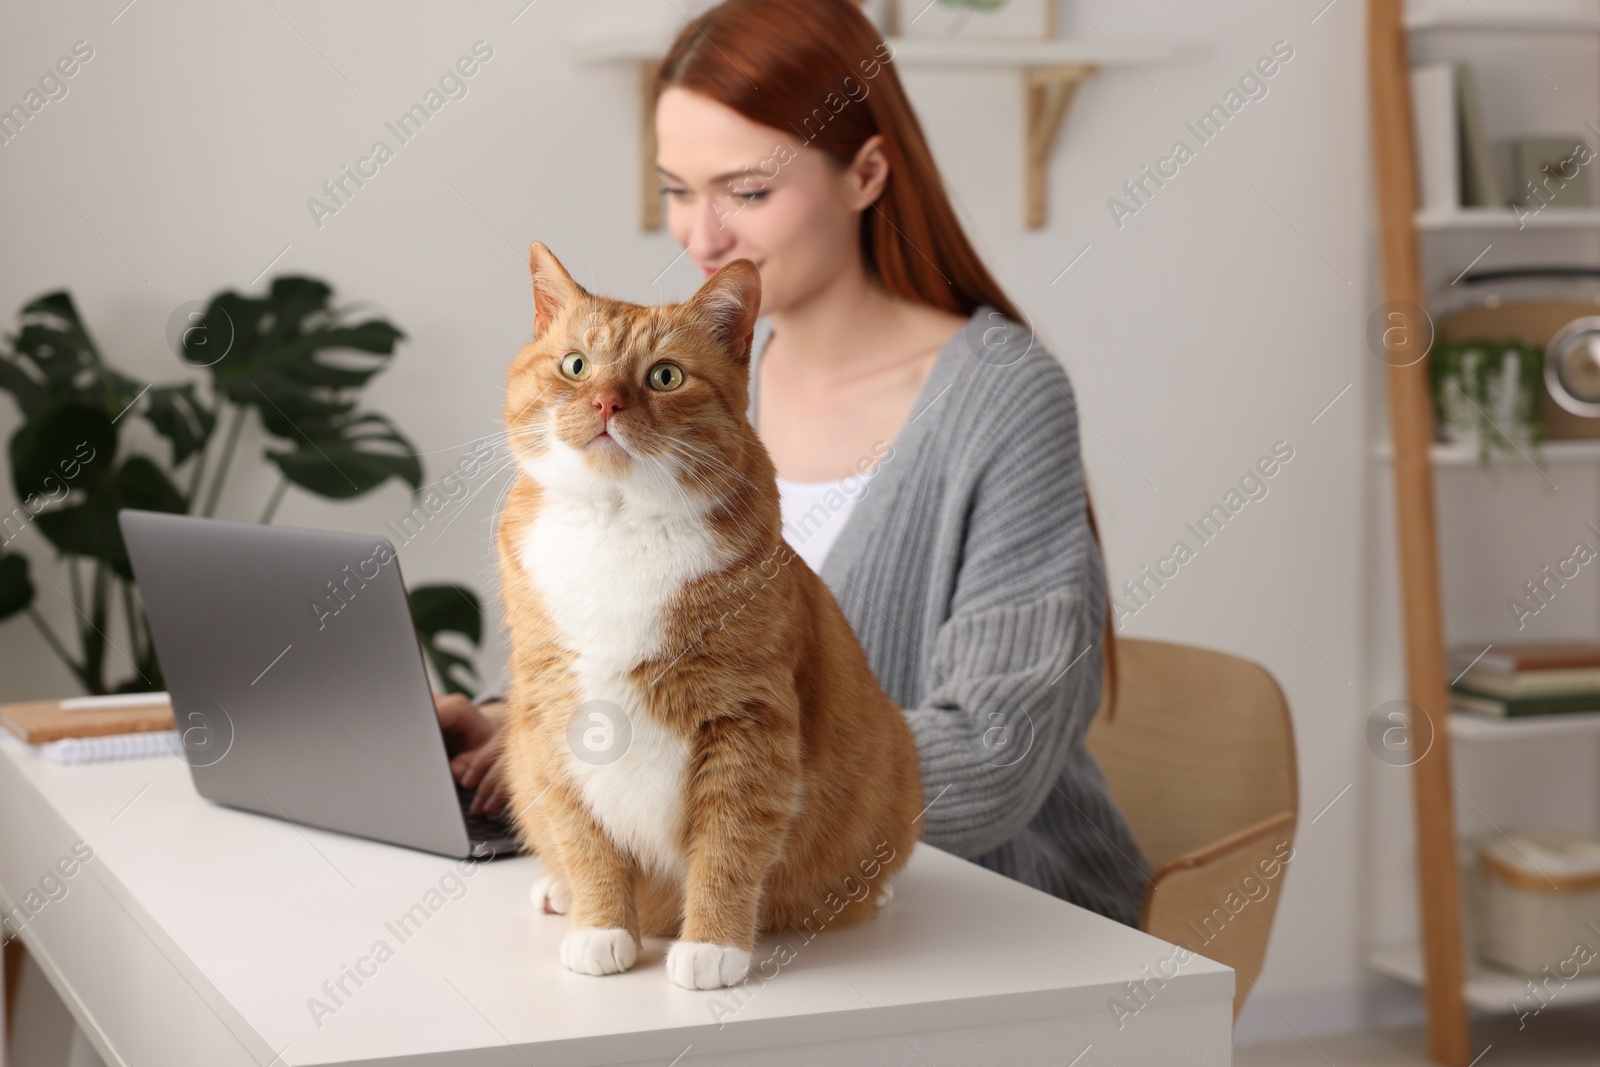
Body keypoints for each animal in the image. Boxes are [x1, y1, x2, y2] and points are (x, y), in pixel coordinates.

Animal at [496, 244, 928, 991]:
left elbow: (728, 844)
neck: (617, 529)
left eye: (665, 376)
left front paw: (712, 947)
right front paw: (601, 925)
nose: (606, 401)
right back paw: (559, 891)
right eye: (576, 365)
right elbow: (586, 841)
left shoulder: (746, 723)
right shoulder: (550, 717)